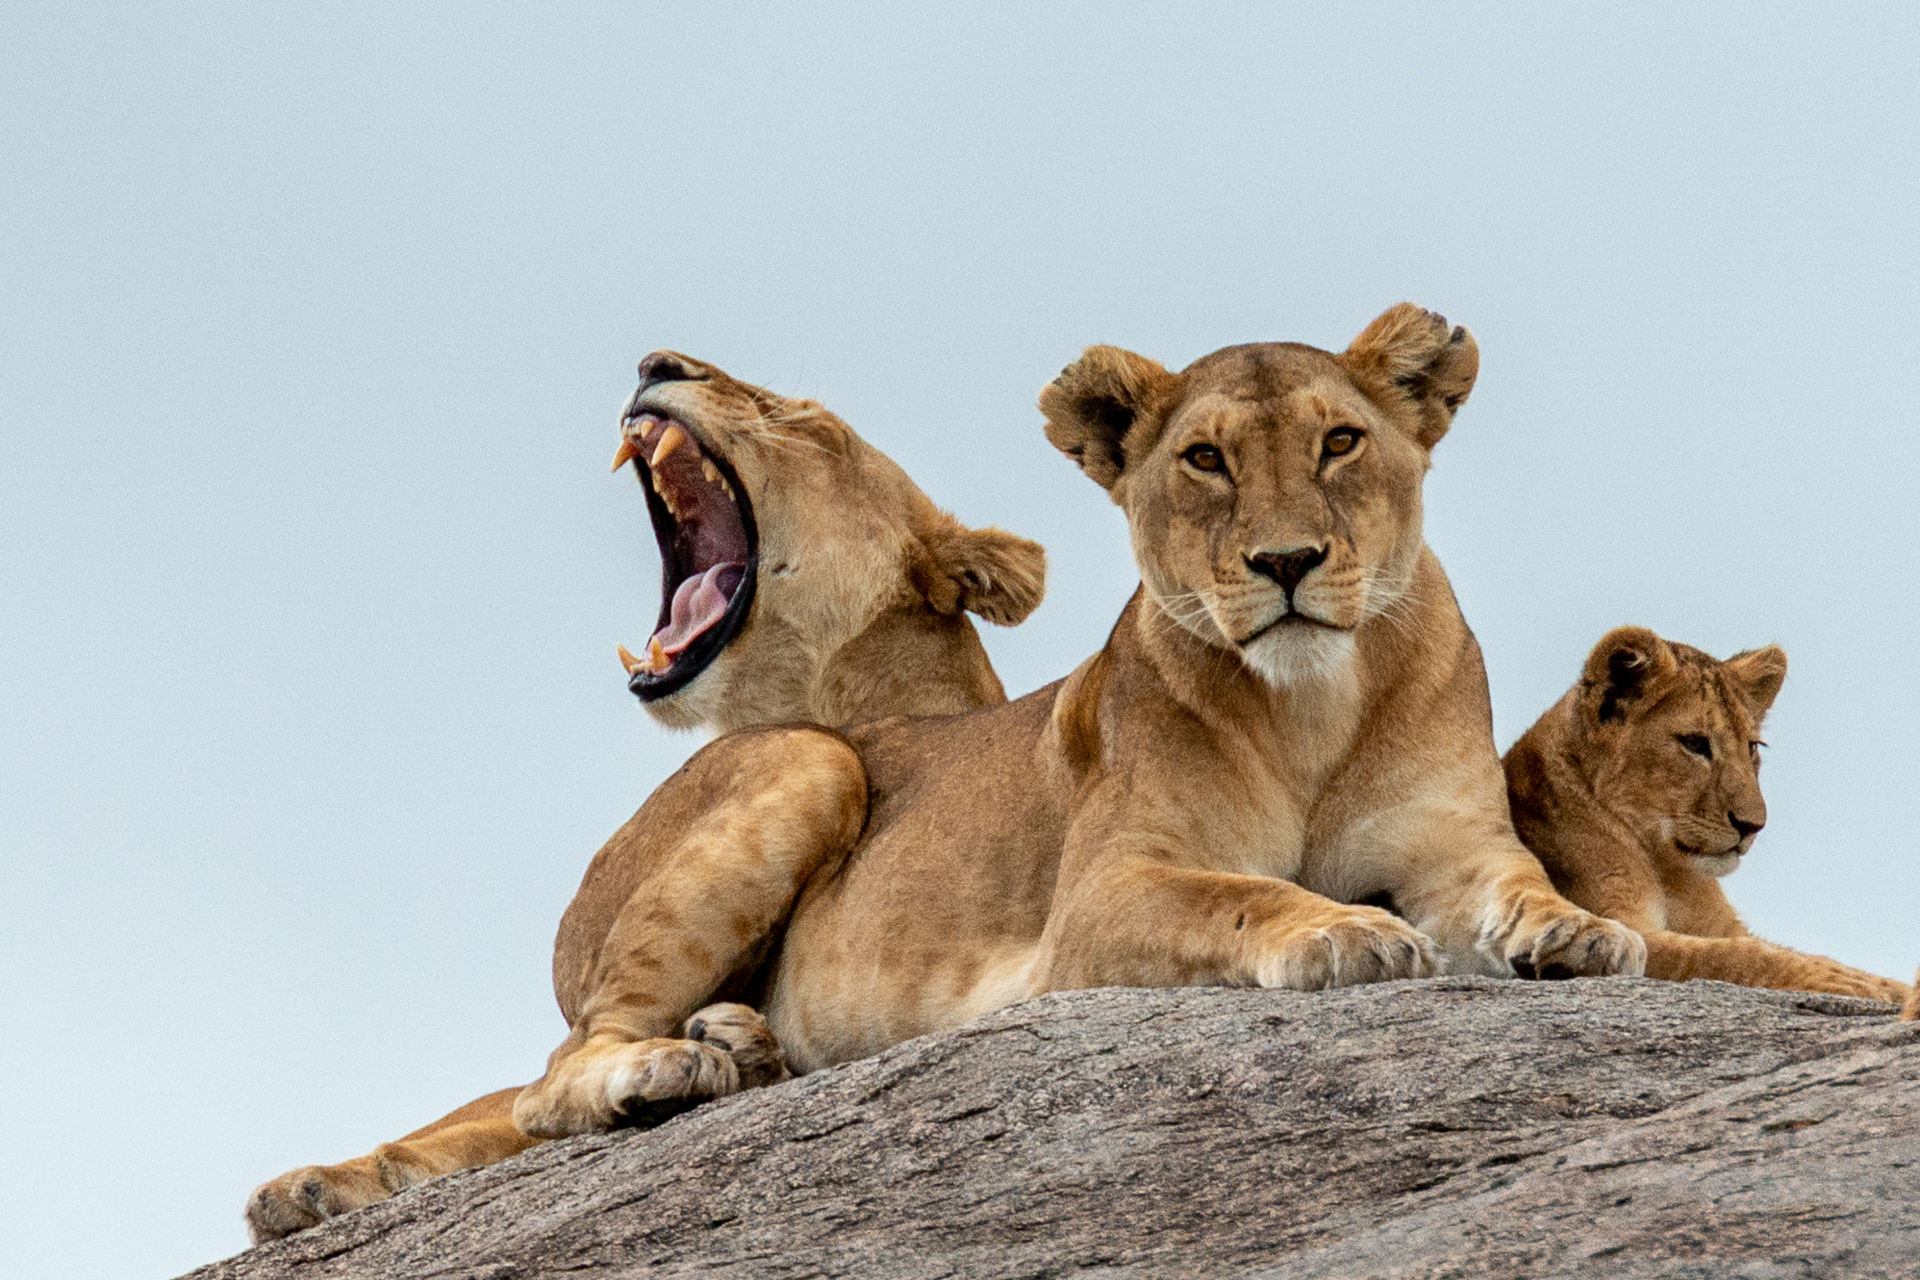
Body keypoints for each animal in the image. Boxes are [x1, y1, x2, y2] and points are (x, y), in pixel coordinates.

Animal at [500, 302, 1645, 1147]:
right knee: (554, 1075)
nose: (1286, 561)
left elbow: (1521, 884)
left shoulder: (1458, 845)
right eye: (1206, 460)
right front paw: (1344, 928)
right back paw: (671, 1066)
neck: (1313, 705)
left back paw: (745, 1045)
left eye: (1341, 441)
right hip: (810, 760)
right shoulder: (1101, 896)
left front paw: (1579, 931)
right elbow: (1238, 894)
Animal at [1504, 627, 1911, 1005]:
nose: (1752, 825)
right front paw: (1853, 984)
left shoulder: (1723, 924)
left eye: (1752, 747)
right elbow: (1730, 956)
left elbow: (1778, 949)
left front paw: (1891, 985)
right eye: (1695, 744)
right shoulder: (1616, 927)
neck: (1668, 870)